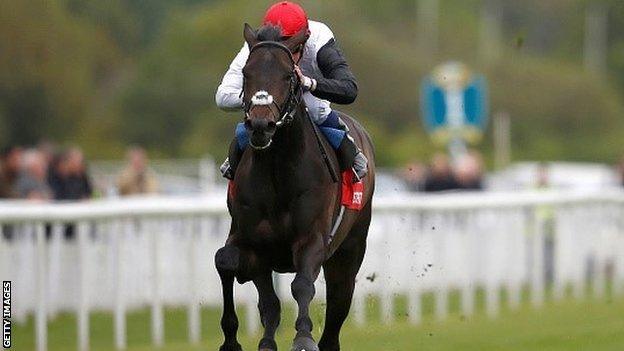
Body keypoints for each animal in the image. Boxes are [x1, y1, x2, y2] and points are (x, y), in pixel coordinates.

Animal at [214, 24, 376, 351]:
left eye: (289, 75)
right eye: (246, 73)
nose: (260, 125)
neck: (278, 172)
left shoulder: (313, 239)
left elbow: (301, 285)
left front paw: (302, 335)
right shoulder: (253, 243)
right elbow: (228, 265)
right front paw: (234, 340)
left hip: (349, 252)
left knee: (338, 307)